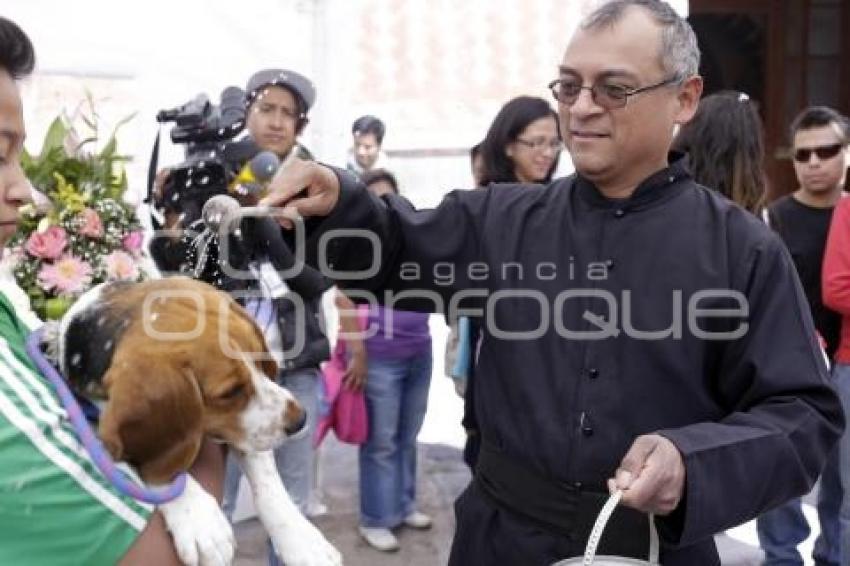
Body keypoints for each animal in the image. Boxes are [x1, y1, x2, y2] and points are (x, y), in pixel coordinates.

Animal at [54, 280, 342, 566]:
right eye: (230, 392)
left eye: (261, 362)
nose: (300, 420)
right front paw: (198, 519)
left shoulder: (246, 433)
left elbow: (269, 484)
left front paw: (301, 539)